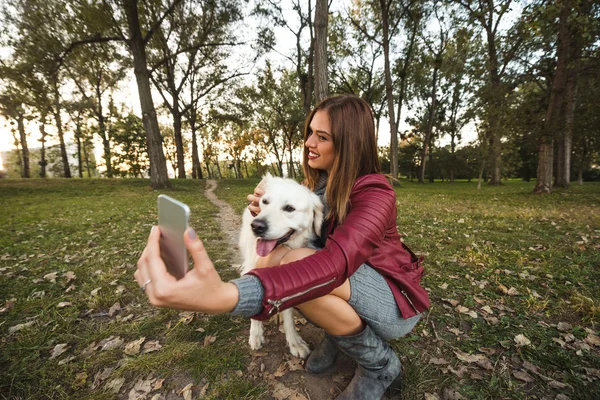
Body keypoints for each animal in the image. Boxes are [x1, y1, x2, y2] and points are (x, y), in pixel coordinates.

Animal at [238, 173, 324, 358]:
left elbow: (288, 314)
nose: (256, 226)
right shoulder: (252, 267)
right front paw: (256, 334)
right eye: (265, 201)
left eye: (289, 208)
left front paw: (294, 341)